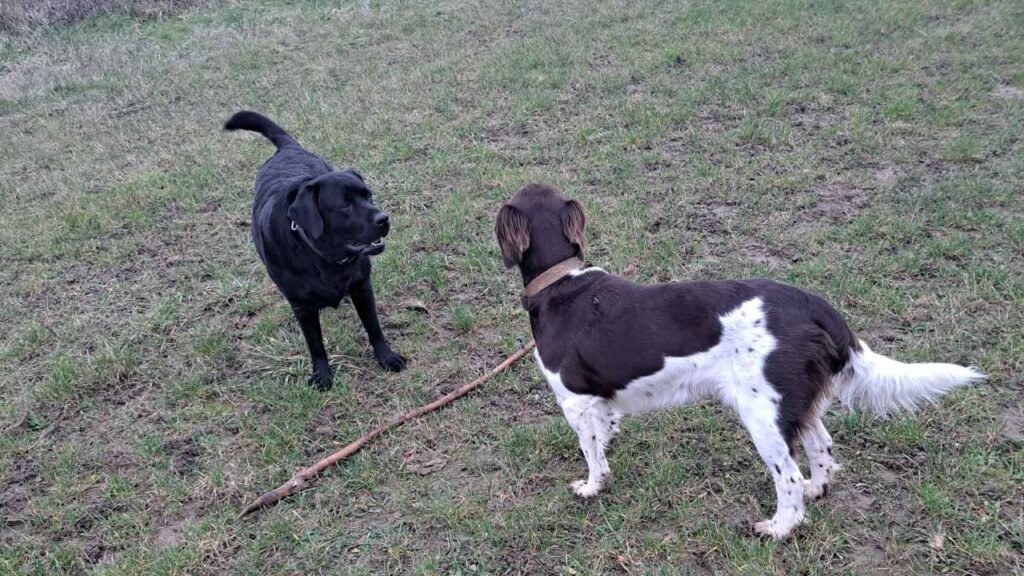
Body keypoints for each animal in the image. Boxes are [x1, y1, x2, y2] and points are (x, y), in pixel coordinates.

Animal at [226, 109, 405, 387]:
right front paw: (322, 375)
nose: (383, 219)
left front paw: (387, 357)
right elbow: (315, 344)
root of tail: (288, 148)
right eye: (345, 205)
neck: (323, 259)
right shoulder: (302, 307)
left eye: (368, 195)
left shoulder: (362, 287)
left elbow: (373, 326)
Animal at [495, 183, 983, 537]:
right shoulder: (599, 400)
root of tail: (815, 306)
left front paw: (592, 488)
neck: (561, 284)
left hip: (761, 413)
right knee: (822, 449)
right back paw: (818, 490)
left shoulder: (573, 401)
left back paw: (779, 528)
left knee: (788, 476)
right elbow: (606, 430)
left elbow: (591, 453)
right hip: (795, 404)